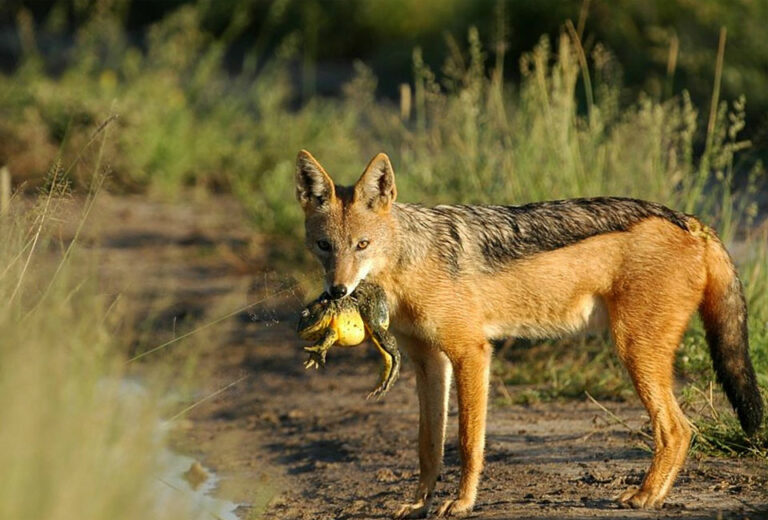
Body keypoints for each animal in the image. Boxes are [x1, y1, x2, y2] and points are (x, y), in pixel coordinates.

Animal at [294, 150, 763, 518]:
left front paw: (461, 504)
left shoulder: (472, 353)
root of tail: (692, 221)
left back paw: (646, 496)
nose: (337, 291)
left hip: (633, 352)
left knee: (678, 429)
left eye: (363, 246)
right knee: (681, 429)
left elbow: (468, 441)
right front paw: (418, 504)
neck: (410, 262)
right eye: (324, 247)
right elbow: (428, 445)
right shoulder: (428, 362)